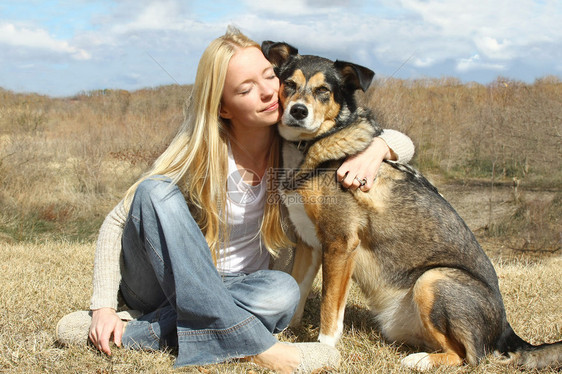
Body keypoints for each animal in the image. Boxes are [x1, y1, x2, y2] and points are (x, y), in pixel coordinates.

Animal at [262, 41, 560, 372]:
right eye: (289, 84)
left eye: (323, 90)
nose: (298, 111)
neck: (310, 149)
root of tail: (507, 332)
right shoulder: (310, 244)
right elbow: (298, 291)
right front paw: (285, 336)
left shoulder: (340, 243)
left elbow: (329, 307)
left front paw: (324, 350)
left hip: (433, 279)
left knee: (469, 357)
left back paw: (419, 360)